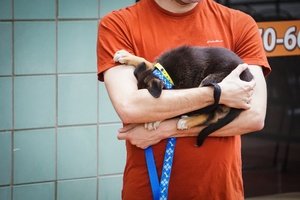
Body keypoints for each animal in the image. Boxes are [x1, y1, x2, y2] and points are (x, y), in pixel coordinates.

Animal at [113, 45, 252, 145]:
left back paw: (187, 121)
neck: (165, 74)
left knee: (211, 114)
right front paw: (127, 56)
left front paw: (154, 120)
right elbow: (147, 62)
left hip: (211, 82)